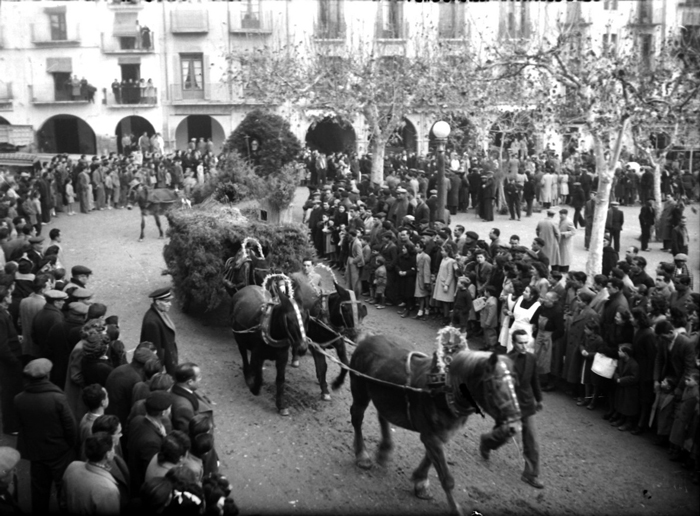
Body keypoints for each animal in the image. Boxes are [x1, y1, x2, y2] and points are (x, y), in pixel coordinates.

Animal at [230, 276, 308, 418]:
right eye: (288, 319)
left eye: (306, 318)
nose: (302, 348)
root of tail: (245, 288)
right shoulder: (258, 355)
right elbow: (259, 375)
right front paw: (254, 388)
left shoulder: (282, 358)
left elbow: (280, 380)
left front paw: (281, 405)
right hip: (238, 339)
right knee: (244, 356)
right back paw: (248, 375)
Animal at [288, 270, 370, 404]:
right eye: (345, 308)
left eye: (363, 310)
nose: (356, 335)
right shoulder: (318, 345)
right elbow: (323, 367)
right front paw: (325, 390)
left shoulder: (339, 342)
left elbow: (345, 364)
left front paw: (337, 383)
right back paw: (295, 357)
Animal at [342, 334, 524, 516]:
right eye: (494, 386)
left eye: (516, 384)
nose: (514, 427)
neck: (444, 391)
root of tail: (367, 339)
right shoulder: (431, 436)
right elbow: (446, 478)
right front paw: (455, 508)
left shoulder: (441, 434)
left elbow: (430, 458)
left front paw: (420, 480)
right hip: (360, 390)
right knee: (357, 417)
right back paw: (362, 455)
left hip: (385, 395)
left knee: (382, 416)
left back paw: (384, 451)